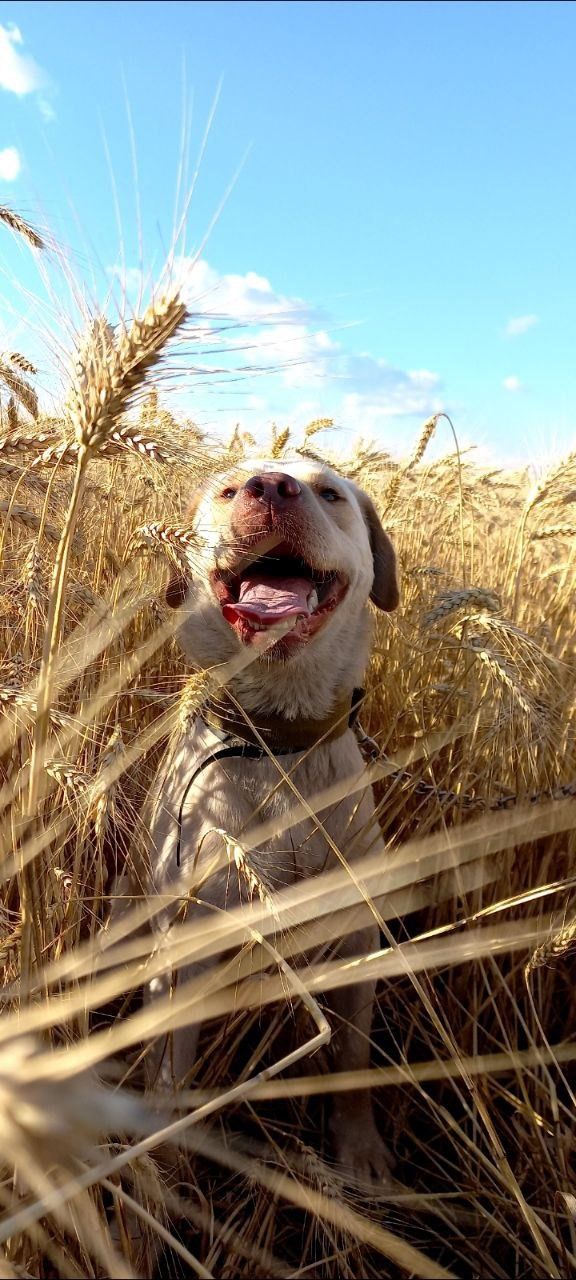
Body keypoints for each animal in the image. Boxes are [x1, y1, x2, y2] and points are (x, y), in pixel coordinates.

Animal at [146, 455, 399, 1182]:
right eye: (230, 489)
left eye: (329, 493)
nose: (271, 488)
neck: (280, 739)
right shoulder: (191, 943)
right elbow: (173, 1065)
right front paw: (166, 1163)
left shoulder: (355, 937)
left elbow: (352, 1057)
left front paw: (359, 1148)